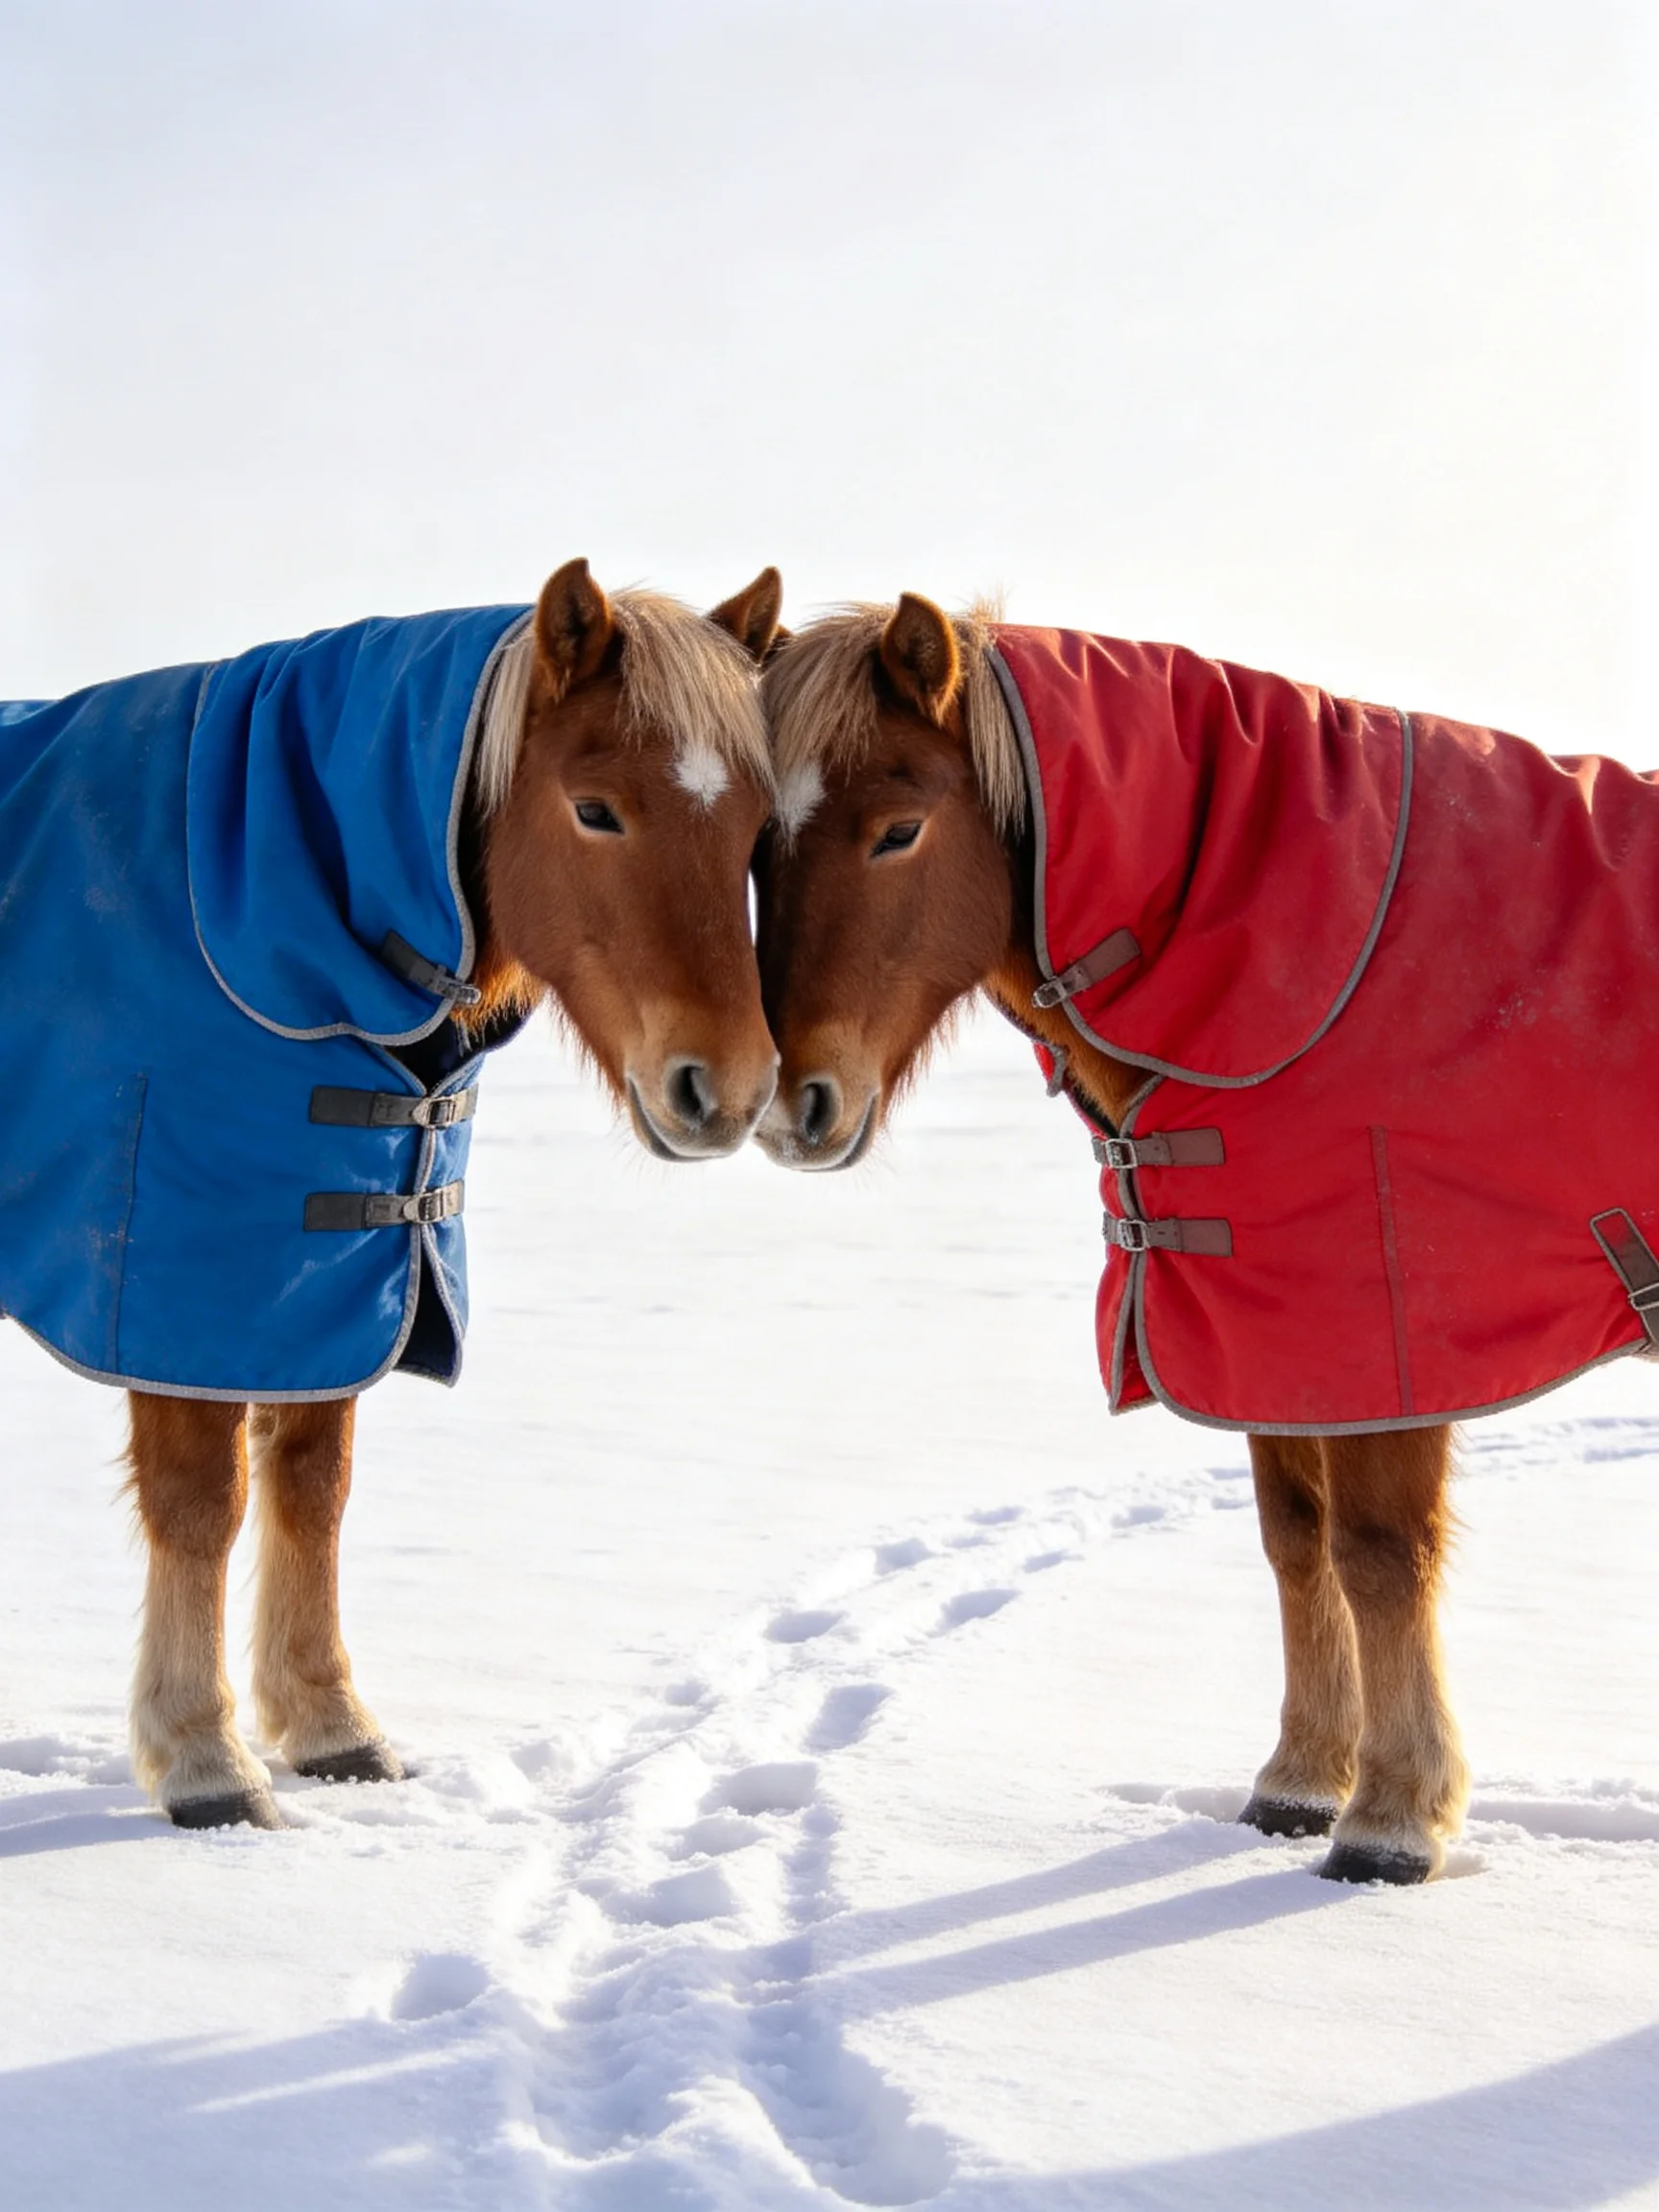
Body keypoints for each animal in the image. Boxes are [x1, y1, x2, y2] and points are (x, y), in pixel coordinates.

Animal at [0, 558, 783, 1830]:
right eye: (596, 809)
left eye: (759, 825)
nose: (730, 1087)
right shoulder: (185, 1283)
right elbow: (201, 1502)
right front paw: (206, 1761)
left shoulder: (338, 1279)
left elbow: (314, 1487)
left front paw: (330, 1727)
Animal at [752, 591, 1659, 1886]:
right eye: (753, 845)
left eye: (900, 830)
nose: (794, 1106)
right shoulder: (1267, 1333)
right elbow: (1296, 1544)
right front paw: (1300, 1781)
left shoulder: (1382, 1340)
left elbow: (1377, 1554)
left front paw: (1393, 1823)